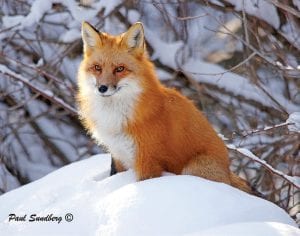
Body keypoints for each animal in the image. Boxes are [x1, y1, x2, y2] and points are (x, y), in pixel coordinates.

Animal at [76, 21, 252, 193]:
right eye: (97, 68)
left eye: (120, 69)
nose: (102, 88)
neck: (116, 115)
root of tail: (228, 171)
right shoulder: (119, 155)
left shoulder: (147, 160)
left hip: (193, 168)